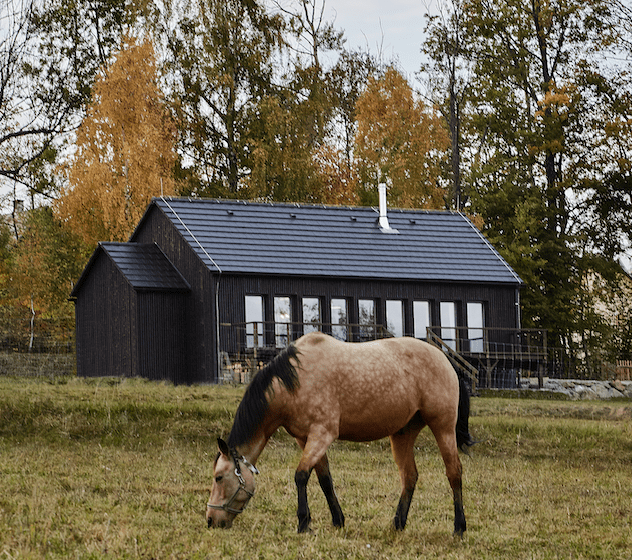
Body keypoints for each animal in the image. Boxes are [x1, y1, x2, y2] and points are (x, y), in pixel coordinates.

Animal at [207, 330, 474, 536]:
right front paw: (338, 520)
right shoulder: (306, 438)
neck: (296, 380)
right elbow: (324, 479)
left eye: (219, 478)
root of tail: (445, 359)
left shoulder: (322, 434)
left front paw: (303, 523)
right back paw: (398, 524)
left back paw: (459, 527)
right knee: (409, 476)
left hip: (443, 426)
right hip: (403, 433)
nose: (210, 520)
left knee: (454, 472)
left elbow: (301, 476)